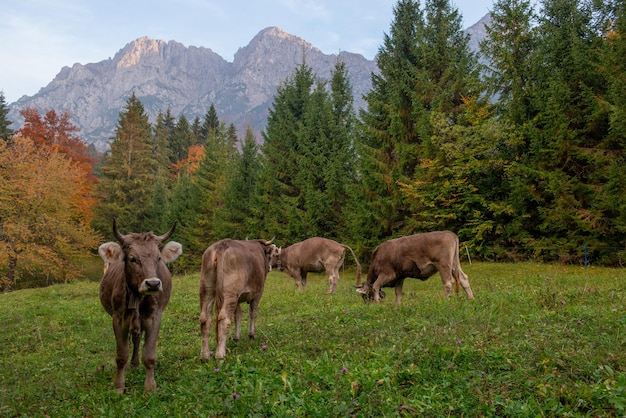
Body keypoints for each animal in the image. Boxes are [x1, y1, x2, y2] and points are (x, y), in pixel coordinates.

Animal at [97, 220, 180, 394]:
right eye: (132, 259)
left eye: (159, 258)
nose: (153, 283)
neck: (138, 299)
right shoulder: (118, 319)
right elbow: (121, 355)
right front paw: (119, 385)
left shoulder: (154, 317)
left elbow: (149, 355)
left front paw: (150, 387)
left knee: (137, 338)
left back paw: (135, 364)